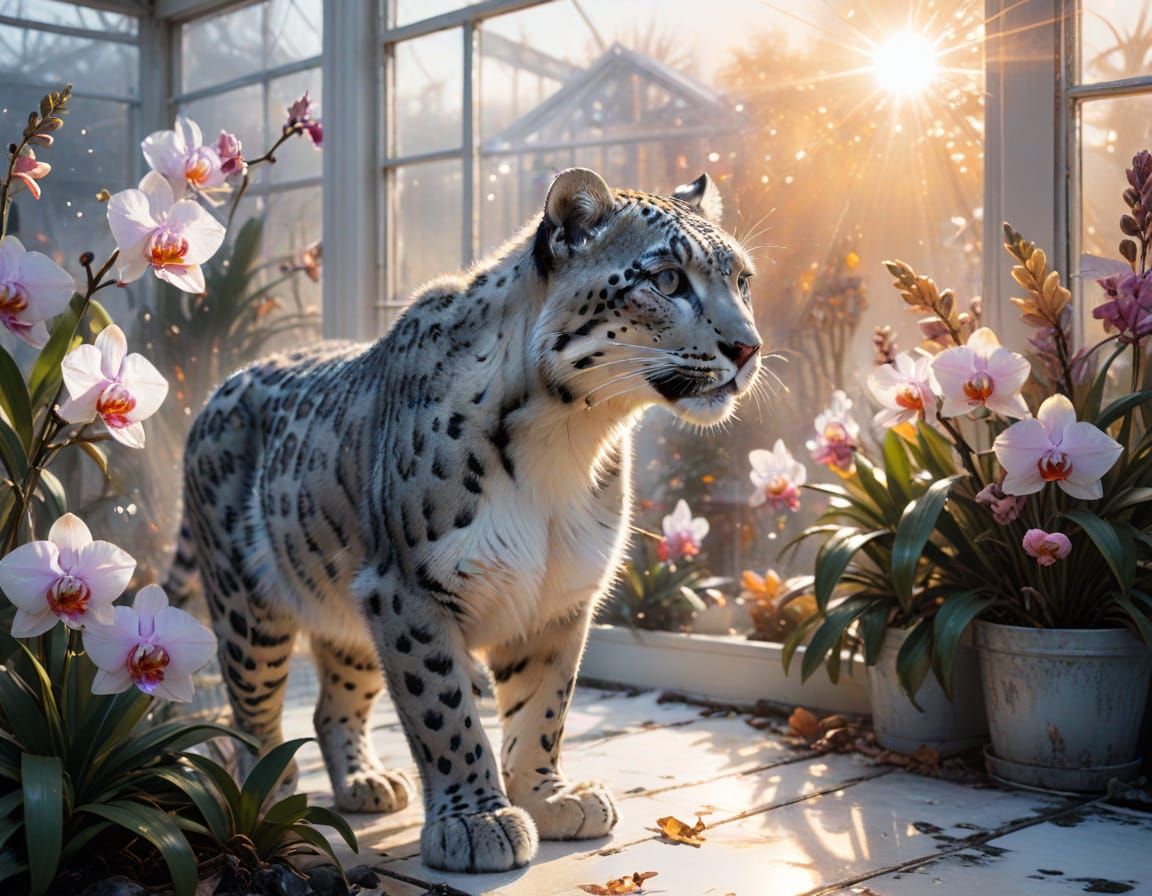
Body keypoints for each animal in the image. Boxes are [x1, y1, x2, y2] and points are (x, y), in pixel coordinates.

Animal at [171, 168, 763, 873]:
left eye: (743, 280)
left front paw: (549, 798)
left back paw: (365, 782)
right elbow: (445, 710)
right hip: (247, 606)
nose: (748, 347)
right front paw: (477, 821)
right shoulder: (407, 589)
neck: (571, 441)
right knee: (252, 712)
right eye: (668, 279)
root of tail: (216, 391)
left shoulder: (561, 595)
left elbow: (543, 707)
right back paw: (268, 799)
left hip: (346, 603)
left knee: (331, 699)